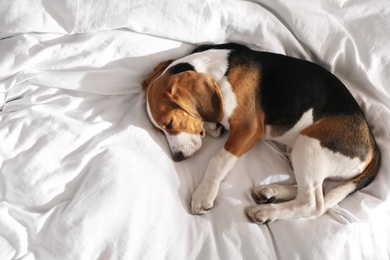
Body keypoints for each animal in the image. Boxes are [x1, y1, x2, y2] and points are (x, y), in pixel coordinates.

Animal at [142, 42, 380, 223]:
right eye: (158, 129)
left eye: (169, 124)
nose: (177, 157)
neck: (217, 71)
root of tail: (372, 144)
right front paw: (212, 125)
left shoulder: (248, 129)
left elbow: (218, 160)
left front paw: (204, 192)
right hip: (297, 152)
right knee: (315, 190)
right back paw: (271, 192)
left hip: (309, 145)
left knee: (312, 204)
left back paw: (266, 211)